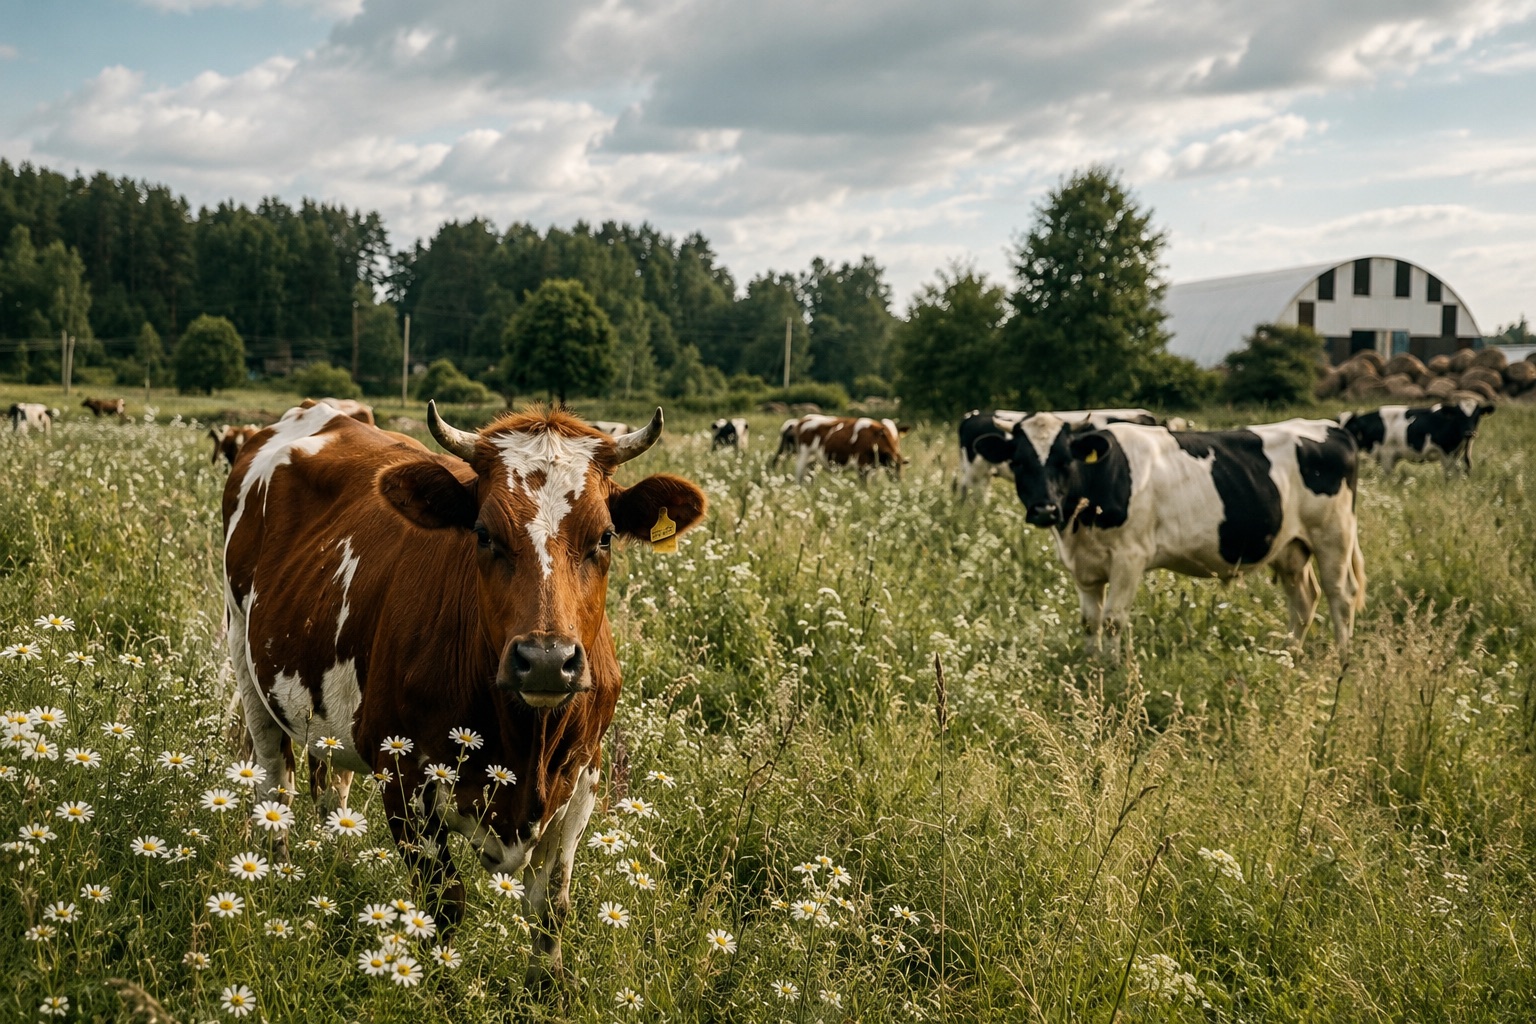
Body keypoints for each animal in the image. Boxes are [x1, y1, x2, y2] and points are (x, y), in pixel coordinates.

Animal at [223, 401, 705, 988]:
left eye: (606, 537)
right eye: (483, 533)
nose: (547, 660)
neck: (524, 743)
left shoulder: (584, 778)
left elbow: (551, 906)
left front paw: (545, 991)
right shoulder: (403, 775)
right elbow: (443, 903)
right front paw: (436, 986)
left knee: (330, 788)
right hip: (245, 658)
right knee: (275, 784)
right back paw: (276, 873)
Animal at [974, 417, 1365, 657]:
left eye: (1064, 461)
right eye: (1019, 462)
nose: (1045, 510)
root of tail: (1329, 427)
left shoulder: (1130, 557)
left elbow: (1113, 620)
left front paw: (1110, 672)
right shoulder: (1084, 567)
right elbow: (1090, 622)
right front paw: (1090, 666)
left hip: (1333, 535)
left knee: (1340, 595)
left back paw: (1341, 660)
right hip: (1290, 547)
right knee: (1304, 600)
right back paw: (1288, 655)